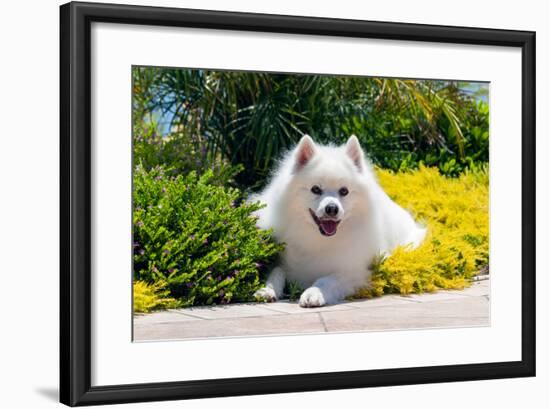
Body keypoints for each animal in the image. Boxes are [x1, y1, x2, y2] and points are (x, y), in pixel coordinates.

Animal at [250, 135, 426, 306]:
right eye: (315, 189)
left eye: (344, 191)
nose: (332, 208)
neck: (319, 239)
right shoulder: (282, 261)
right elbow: (276, 272)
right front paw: (267, 290)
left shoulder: (354, 271)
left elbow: (327, 280)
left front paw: (314, 293)